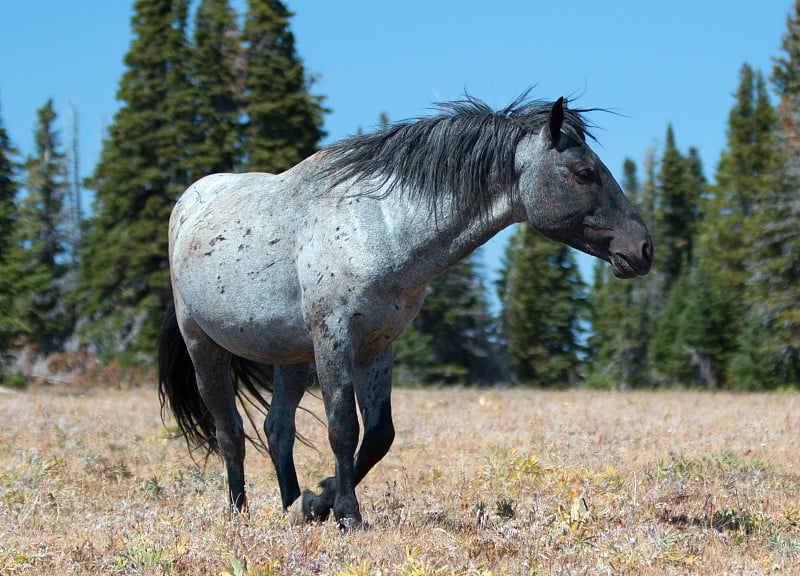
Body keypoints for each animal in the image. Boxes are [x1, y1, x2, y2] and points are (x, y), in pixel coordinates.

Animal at [156, 92, 648, 528]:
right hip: (205, 348)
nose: (643, 248)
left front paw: (318, 502)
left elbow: (378, 435)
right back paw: (239, 514)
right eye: (584, 173)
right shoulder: (334, 339)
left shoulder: (377, 346)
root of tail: (187, 203)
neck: (379, 228)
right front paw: (348, 515)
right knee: (230, 431)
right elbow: (342, 427)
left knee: (277, 428)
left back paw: (291, 505)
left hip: (291, 357)